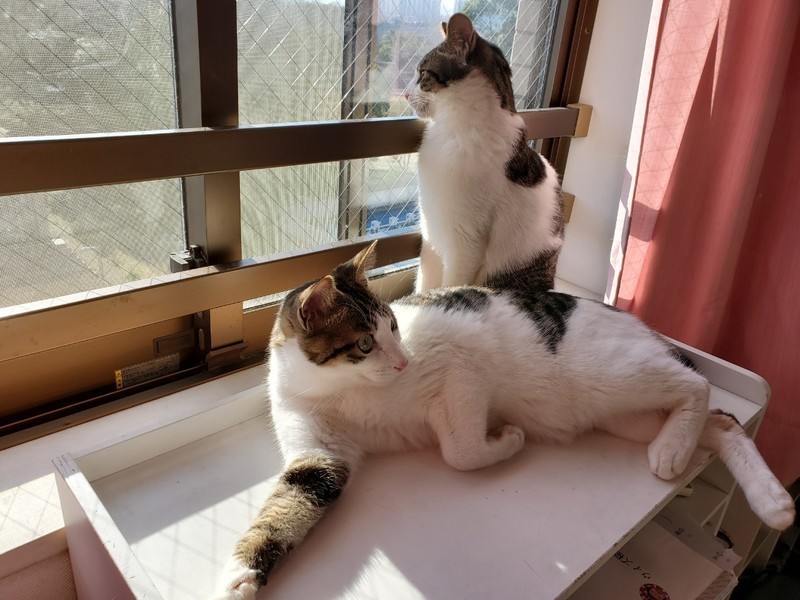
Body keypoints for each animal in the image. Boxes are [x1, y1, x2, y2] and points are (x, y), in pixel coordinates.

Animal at [211, 242, 795, 599]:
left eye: (394, 327)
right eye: (363, 344)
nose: (401, 361)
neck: (345, 394)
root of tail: (646, 331)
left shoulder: (462, 376)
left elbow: (461, 452)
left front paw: (507, 439)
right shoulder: (319, 454)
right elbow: (289, 504)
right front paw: (242, 573)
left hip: (616, 375)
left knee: (699, 388)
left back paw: (679, 456)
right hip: (629, 414)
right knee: (723, 422)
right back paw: (771, 500)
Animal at [406, 13, 564, 292]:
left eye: (422, 73)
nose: (404, 94)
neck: (452, 132)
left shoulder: (465, 241)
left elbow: (450, 285)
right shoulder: (430, 233)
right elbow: (425, 281)